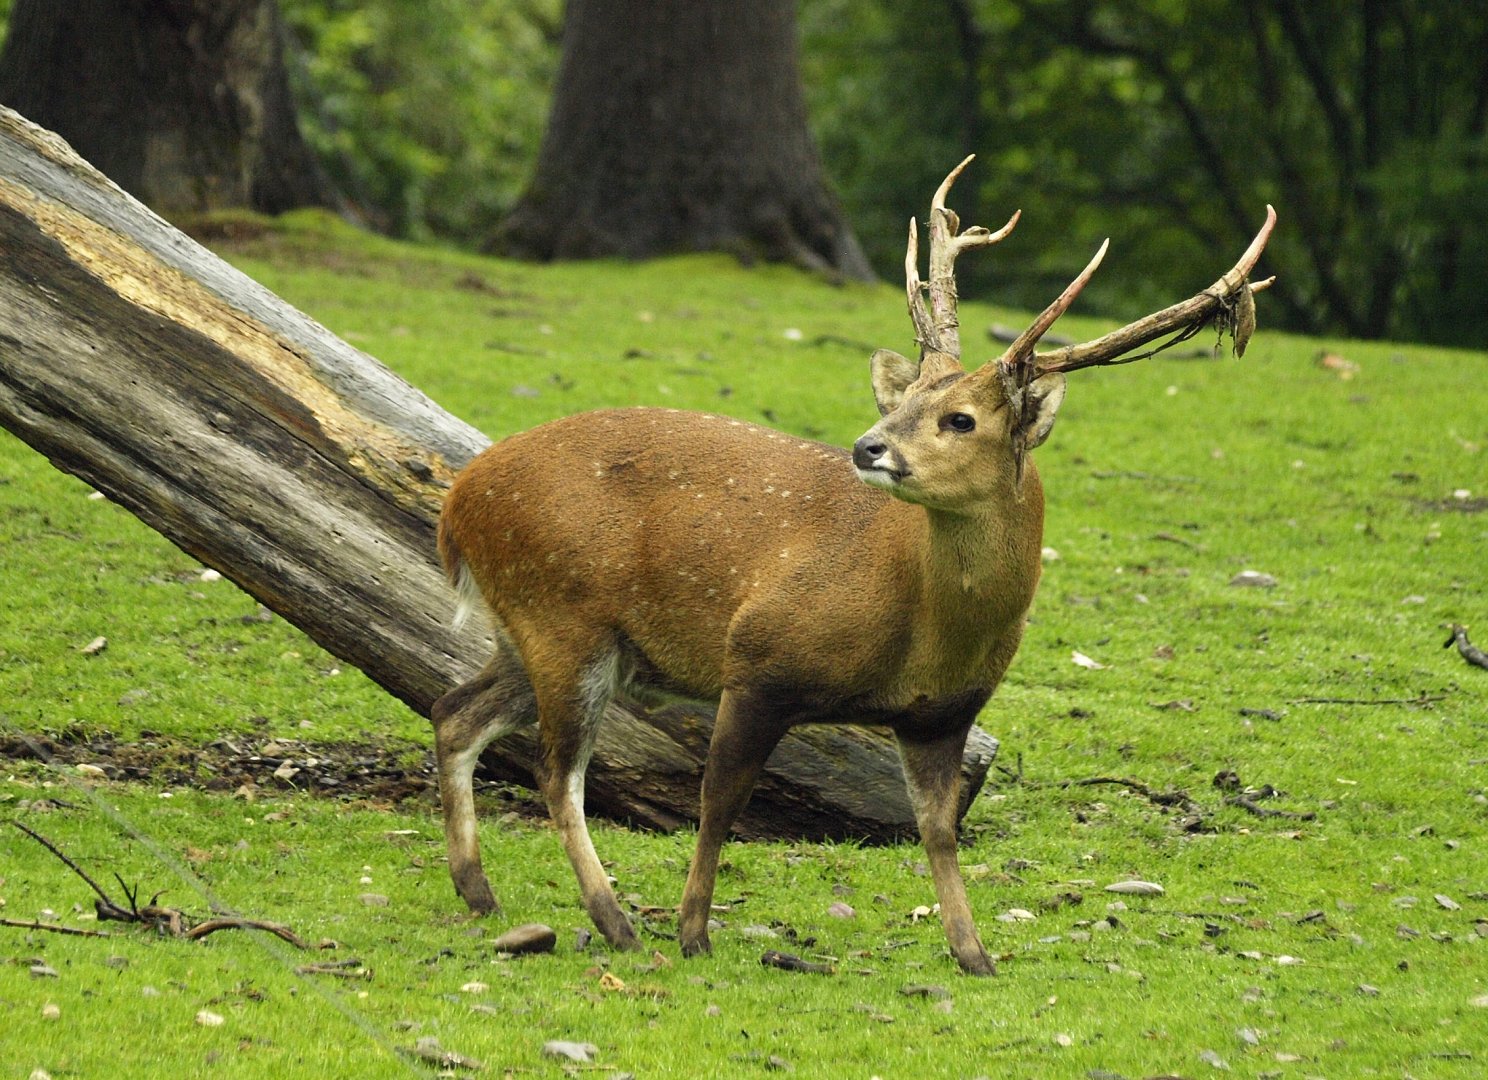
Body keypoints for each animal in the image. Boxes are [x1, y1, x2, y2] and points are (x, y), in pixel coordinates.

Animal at [431, 157, 1275, 975]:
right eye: (903, 402)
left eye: (960, 418)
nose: (870, 447)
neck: (920, 627)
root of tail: (457, 505)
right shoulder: (760, 661)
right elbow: (719, 802)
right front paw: (695, 932)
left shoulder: (944, 713)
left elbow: (937, 829)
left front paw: (975, 955)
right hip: (564, 615)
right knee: (556, 773)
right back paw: (617, 925)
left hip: (541, 632)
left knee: (455, 712)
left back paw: (480, 892)